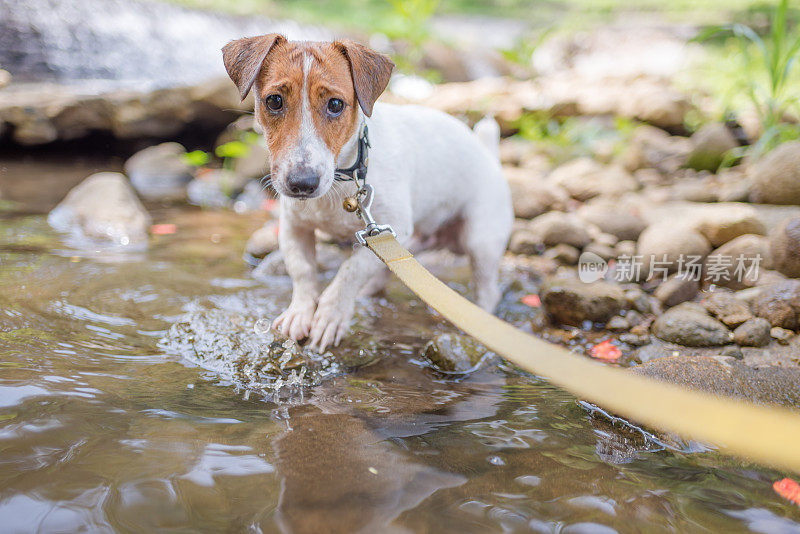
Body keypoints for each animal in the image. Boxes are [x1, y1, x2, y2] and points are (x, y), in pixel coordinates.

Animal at [222, 33, 512, 352]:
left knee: (487, 290)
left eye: (336, 104)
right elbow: (303, 270)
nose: (302, 183)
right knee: (385, 268)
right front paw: (300, 312)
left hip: (481, 241)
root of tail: (488, 154)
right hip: (409, 242)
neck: (343, 178)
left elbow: (350, 271)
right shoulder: (294, 228)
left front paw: (330, 316)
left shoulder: (387, 228)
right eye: (274, 101)